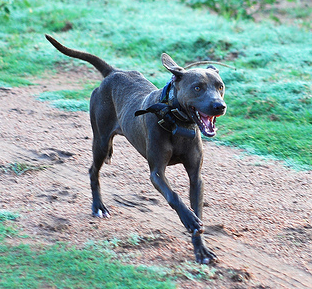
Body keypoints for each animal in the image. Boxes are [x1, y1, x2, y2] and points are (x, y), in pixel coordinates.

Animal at [45, 34, 227, 264]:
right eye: (197, 87)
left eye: (220, 87)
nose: (219, 106)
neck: (177, 122)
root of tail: (114, 72)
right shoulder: (157, 172)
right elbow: (174, 196)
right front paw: (190, 221)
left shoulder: (196, 177)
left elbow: (197, 208)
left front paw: (201, 249)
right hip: (100, 140)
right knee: (93, 170)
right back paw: (99, 207)